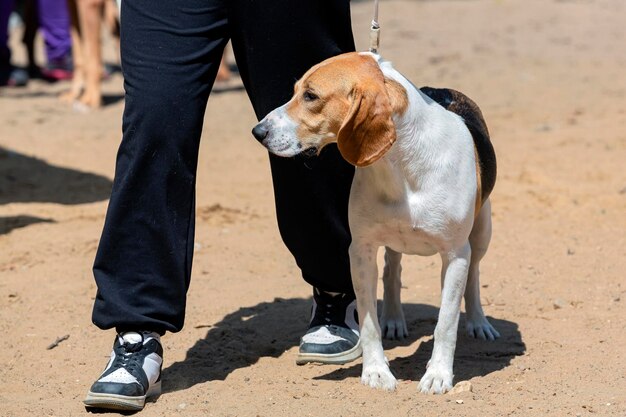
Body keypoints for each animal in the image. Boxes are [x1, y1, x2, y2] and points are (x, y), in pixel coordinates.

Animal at [251, 52, 500, 394]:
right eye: (295, 90)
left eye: (311, 96)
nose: (257, 132)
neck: (401, 167)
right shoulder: (361, 251)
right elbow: (369, 322)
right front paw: (376, 372)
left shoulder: (455, 255)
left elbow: (446, 323)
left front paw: (438, 374)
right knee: (392, 272)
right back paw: (394, 319)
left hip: (481, 233)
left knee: (473, 276)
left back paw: (478, 322)